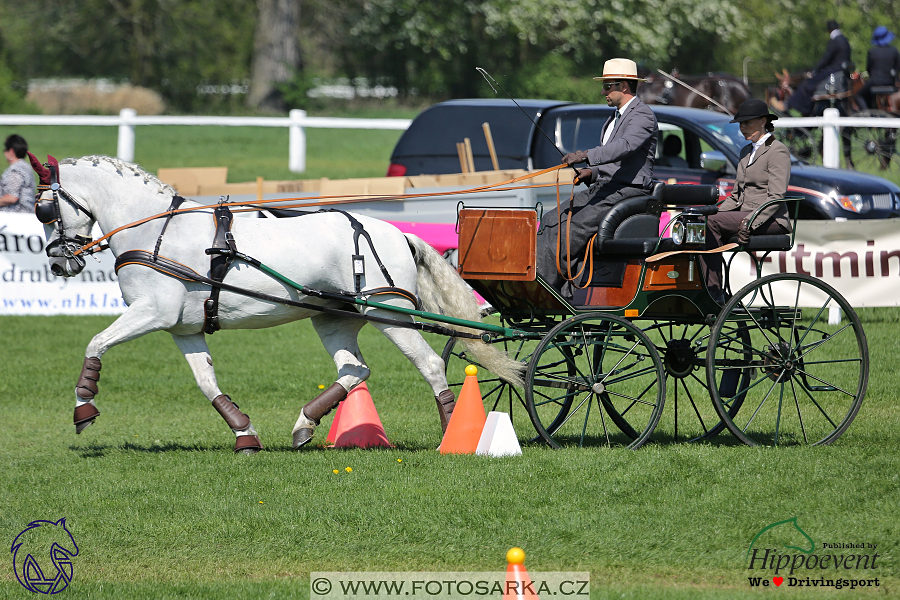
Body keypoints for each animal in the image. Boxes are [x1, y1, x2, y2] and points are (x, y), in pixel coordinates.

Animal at [35, 157, 524, 452]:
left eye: (44, 209)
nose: (58, 262)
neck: (156, 233)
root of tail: (397, 232)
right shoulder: (183, 328)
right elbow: (207, 383)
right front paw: (244, 433)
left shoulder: (152, 313)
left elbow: (96, 342)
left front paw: (83, 407)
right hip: (334, 319)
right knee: (355, 369)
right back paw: (305, 424)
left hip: (389, 313)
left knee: (430, 364)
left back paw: (451, 433)